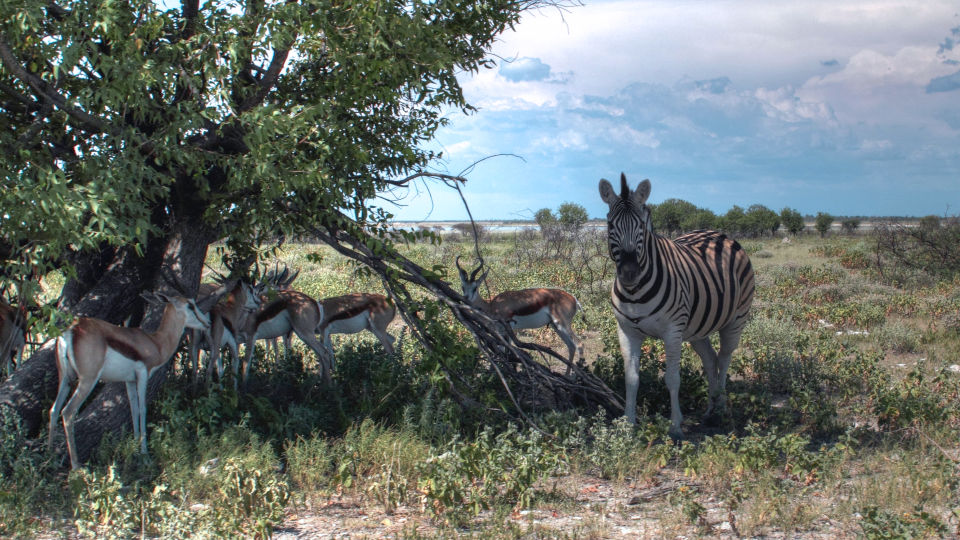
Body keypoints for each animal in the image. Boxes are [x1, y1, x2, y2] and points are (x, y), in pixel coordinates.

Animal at [599, 173, 755, 438]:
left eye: (641, 227)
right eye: (610, 226)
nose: (629, 273)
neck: (635, 293)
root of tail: (718, 233)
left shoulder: (672, 331)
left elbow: (672, 378)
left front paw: (675, 426)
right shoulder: (627, 331)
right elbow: (631, 378)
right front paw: (628, 425)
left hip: (736, 320)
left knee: (724, 359)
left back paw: (721, 407)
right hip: (697, 327)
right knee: (710, 359)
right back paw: (710, 408)